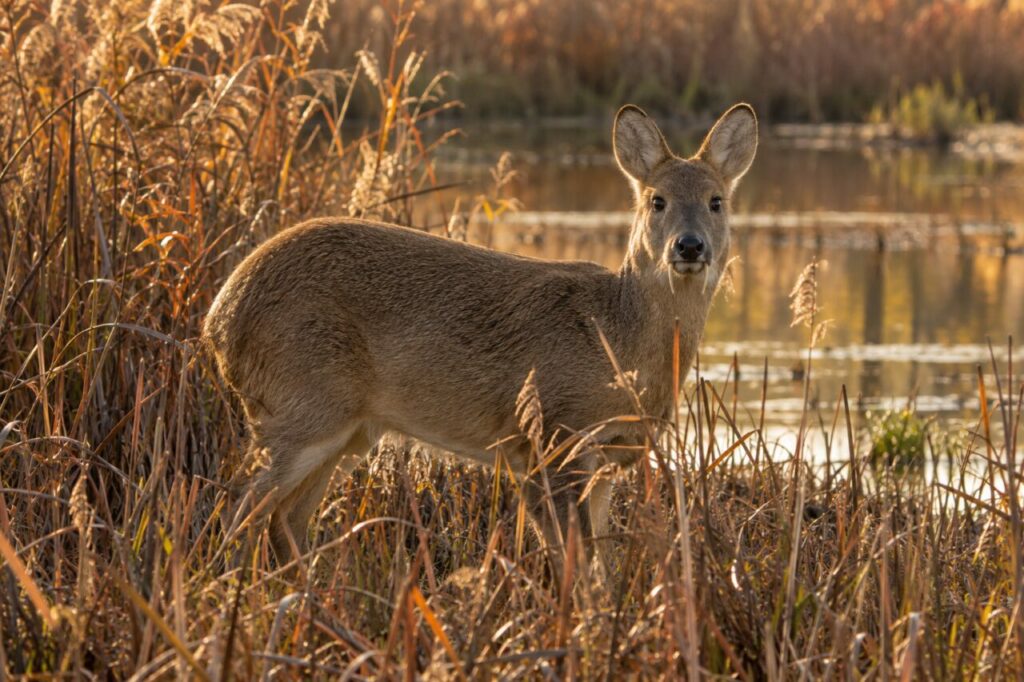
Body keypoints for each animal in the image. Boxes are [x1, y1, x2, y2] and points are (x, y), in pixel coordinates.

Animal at [203, 103, 758, 573]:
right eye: (656, 200)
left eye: (717, 201)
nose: (689, 246)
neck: (616, 341)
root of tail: (220, 318)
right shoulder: (551, 437)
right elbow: (573, 561)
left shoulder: (602, 458)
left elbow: (596, 558)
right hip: (301, 406)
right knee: (236, 508)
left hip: (345, 431)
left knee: (284, 520)